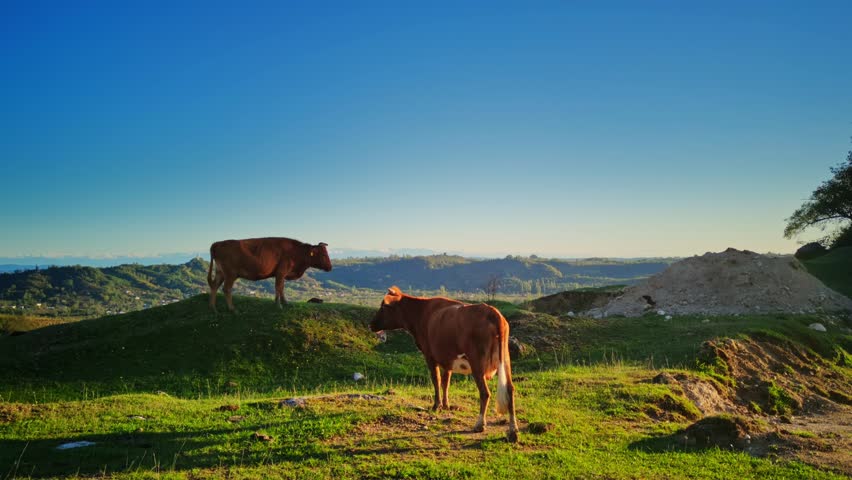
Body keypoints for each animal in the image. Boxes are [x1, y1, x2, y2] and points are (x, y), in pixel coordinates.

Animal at [369, 286, 519, 442]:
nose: (371, 324)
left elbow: (436, 380)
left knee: (485, 392)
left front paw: (437, 405)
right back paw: (513, 431)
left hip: (477, 361)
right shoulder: (448, 359)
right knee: (510, 389)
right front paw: (446, 405)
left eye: (383, 306)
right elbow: (446, 381)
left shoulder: (429, 355)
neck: (420, 313)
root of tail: (492, 312)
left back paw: (479, 425)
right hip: (505, 359)